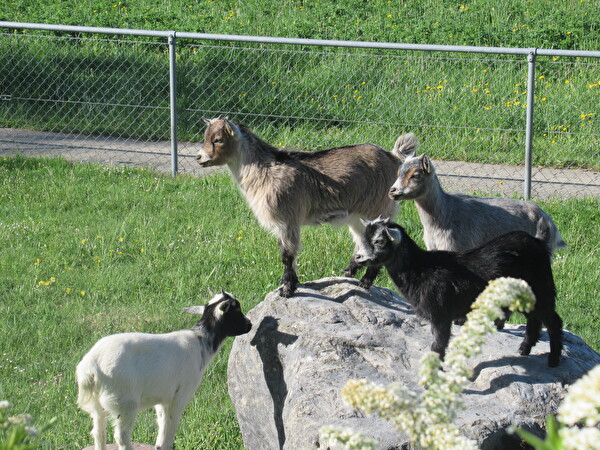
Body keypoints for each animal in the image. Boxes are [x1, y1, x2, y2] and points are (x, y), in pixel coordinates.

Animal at [76, 292, 252, 450]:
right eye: (236, 309)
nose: (249, 324)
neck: (201, 343)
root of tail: (90, 365)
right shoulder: (180, 395)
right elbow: (170, 427)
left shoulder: (163, 398)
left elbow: (162, 424)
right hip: (124, 402)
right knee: (121, 436)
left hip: (97, 403)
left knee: (98, 432)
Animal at [197, 118, 418, 298]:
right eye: (205, 136)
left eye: (218, 139)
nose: (199, 157)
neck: (263, 169)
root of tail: (393, 157)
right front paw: (289, 284)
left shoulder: (287, 219)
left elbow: (287, 255)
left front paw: (287, 289)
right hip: (358, 215)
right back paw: (349, 272)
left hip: (378, 208)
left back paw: (365, 282)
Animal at [354, 217, 560, 366]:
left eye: (379, 241)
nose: (357, 257)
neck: (420, 268)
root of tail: (539, 242)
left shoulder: (441, 314)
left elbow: (438, 345)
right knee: (534, 319)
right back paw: (524, 349)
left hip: (542, 288)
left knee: (553, 321)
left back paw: (553, 360)